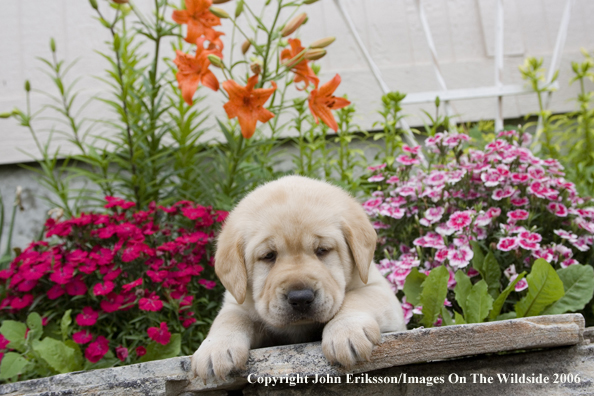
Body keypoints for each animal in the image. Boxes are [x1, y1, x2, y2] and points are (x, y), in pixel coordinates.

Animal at [192, 175, 404, 378]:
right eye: (268, 256)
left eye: (322, 250)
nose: (301, 298)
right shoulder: (237, 300)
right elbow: (229, 318)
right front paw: (215, 349)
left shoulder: (376, 287)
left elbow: (356, 298)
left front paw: (347, 331)